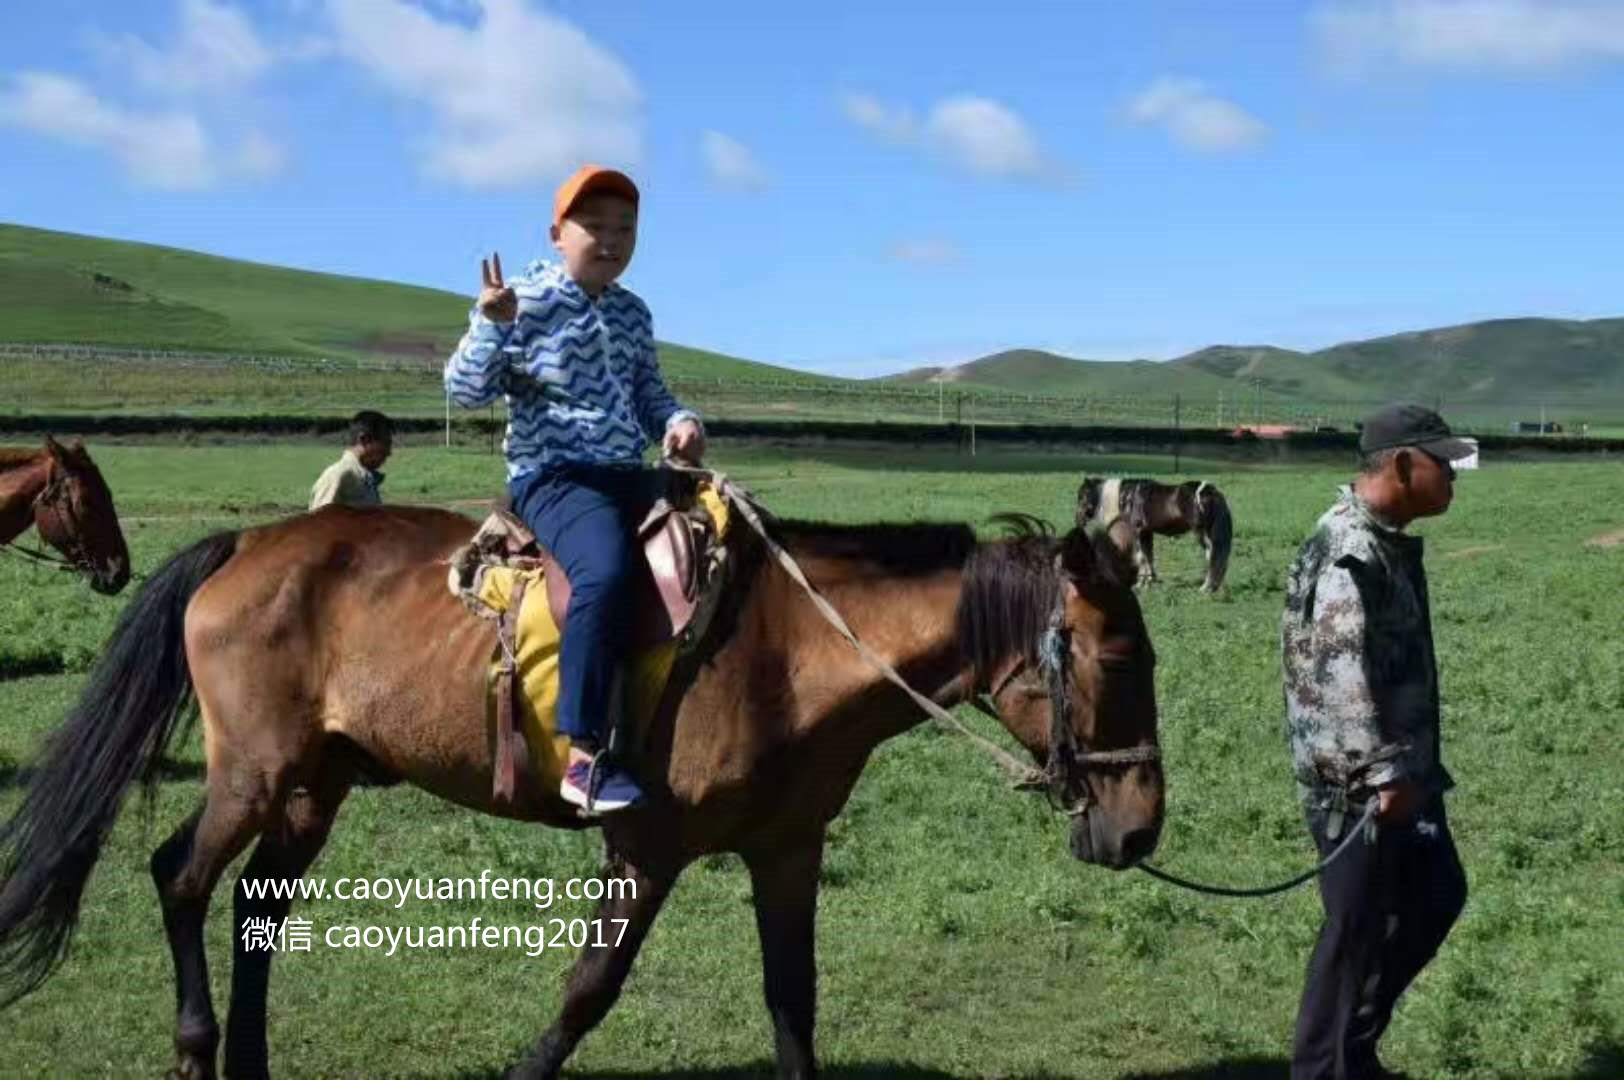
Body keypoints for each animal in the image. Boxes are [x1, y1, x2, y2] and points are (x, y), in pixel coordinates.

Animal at [0, 496, 1169, 1078]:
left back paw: (248, 1059)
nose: (1141, 828)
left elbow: (794, 1003)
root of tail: (247, 543)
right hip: (254, 771)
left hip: (314, 785)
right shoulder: (644, 851)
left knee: (256, 905)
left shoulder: (786, 852)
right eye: (1118, 663)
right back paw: (197, 1050)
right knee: (181, 878)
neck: (790, 654)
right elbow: (588, 992)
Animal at [1078, 474, 1227, 591]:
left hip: (1202, 534)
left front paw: (1140, 584)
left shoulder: (1137, 532)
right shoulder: (1146, 532)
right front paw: (1149, 582)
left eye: (1083, 496)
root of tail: (1208, 490)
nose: (1078, 520)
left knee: (1212, 557)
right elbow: (1148, 557)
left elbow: (1141, 557)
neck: (1128, 498)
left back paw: (1206, 587)